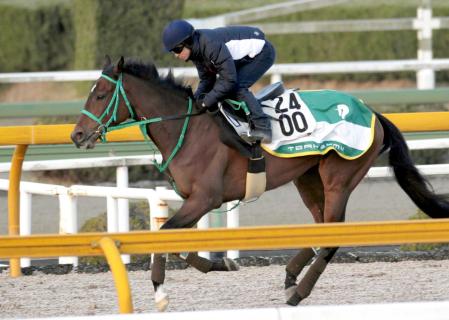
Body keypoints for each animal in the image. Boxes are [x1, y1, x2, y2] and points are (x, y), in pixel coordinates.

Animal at [70, 56, 448, 312]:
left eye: (101, 95)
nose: (77, 135)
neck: (188, 129)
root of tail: (372, 113)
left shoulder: (205, 198)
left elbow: (165, 237)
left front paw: (160, 292)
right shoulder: (197, 200)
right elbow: (176, 242)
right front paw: (221, 263)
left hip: (339, 176)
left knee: (333, 233)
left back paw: (299, 292)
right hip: (308, 178)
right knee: (321, 224)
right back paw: (291, 276)